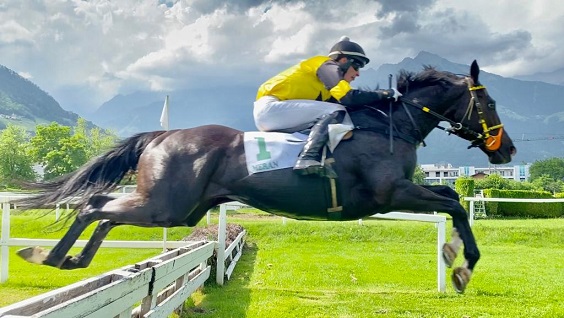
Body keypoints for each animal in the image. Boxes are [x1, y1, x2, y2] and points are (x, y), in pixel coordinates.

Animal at [13, 59, 516, 294]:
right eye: (489, 103)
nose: (507, 149)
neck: (390, 125)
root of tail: (164, 135)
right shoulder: (389, 193)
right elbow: (451, 201)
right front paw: (462, 263)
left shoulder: (400, 192)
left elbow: (451, 194)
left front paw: (454, 254)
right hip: (167, 205)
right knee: (93, 206)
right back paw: (51, 256)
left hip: (177, 209)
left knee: (104, 212)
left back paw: (69, 259)